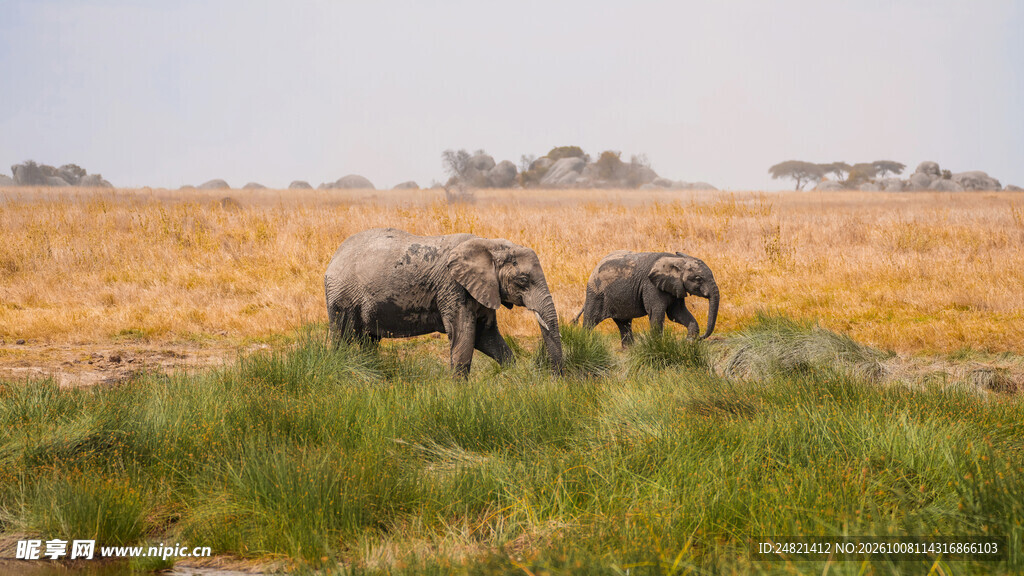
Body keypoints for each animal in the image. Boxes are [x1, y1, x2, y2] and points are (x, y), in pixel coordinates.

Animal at [324, 228, 563, 376]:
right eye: (523, 280)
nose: (556, 380)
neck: (489, 245)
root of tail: (334, 256)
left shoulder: (483, 289)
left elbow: (486, 336)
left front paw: (514, 376)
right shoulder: (453, 287)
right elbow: (464, 335)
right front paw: (459, 394)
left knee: (369, 340)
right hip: (342, 296)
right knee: (343, 336)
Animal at [573, 251, 719, 346]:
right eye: (698, 278)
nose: (701, 338)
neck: (675, 260)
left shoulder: (675, 286)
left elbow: (677, 313)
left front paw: (689, 342)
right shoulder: (651, 285)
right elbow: (657, 312)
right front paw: (658, 345)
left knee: (624, 323)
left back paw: (629, 351)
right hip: (595, 293)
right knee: (591, 321)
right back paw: (585, 344)